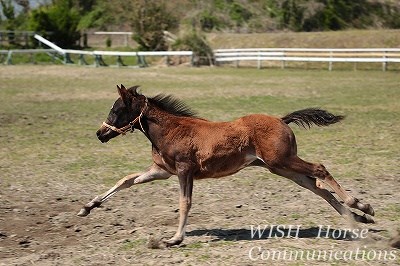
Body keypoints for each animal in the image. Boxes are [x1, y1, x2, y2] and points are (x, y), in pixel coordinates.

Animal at [78, 84, 376, 247]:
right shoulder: (162, 171)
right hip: (280, 167)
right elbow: (126, 180)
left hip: (281, 161)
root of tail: (282, 119)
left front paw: (174, 239)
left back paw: (361, 206)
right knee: (316, 186)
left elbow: (184, 202)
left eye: (116, 110)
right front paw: (87, 207)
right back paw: (358, 218)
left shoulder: (184, 171)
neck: (170, 130)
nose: (99, 134)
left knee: (320, 170)